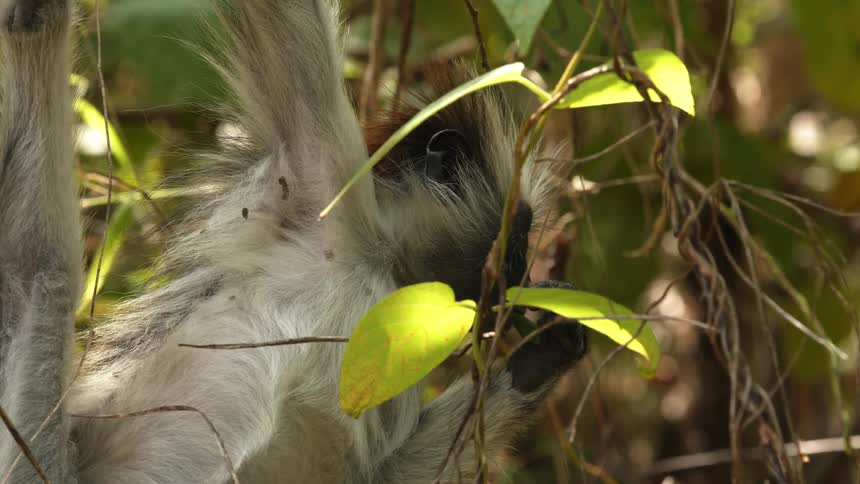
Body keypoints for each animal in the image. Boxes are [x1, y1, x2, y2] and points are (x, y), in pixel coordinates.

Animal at [0, 0, 588, 482]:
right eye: (518, 237)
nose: (522, 274)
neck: (379, 266)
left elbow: (384, 476)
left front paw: (543, 354)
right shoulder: (322, 174)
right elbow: (284, 15)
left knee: (37, 274)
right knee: (42, 271)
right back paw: (40, 30)